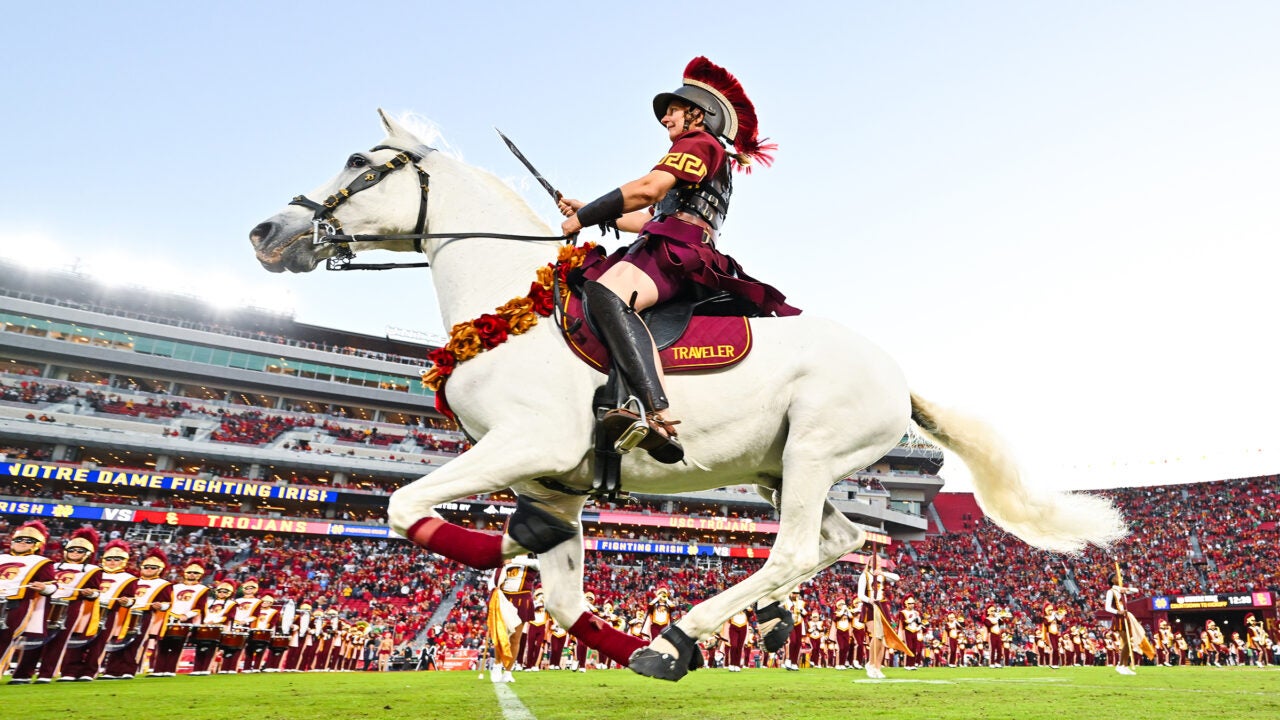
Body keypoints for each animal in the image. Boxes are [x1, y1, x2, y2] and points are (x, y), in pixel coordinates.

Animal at [244, 110, 1126, 676]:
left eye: (360, 164)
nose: (266, 233)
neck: (504, 307)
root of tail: (901, 379)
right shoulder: (552, 481)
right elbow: (558, 596)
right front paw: (536, 568)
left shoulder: (528, 444)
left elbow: (403, 506)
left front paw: (645, 634)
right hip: (780, 470)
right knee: (837, 539)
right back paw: (747, 624)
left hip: (812, 452)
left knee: (797, 548)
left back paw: (688, 635)